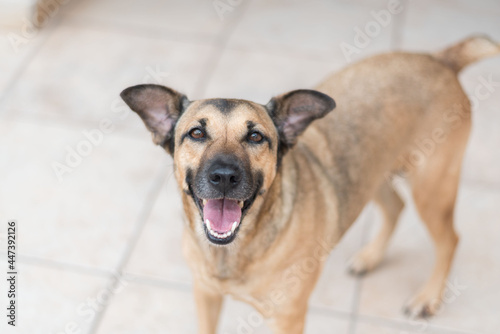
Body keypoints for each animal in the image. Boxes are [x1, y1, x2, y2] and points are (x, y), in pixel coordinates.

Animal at [122, 36, 500, 334]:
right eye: (197, 133)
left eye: (256, 137)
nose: (225, 176)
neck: (236, 253)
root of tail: (440, 59)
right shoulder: (205, 295)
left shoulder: (287, 319)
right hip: (372, 175)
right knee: (396, 206)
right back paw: (370, 258)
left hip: (432, 189)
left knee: (450, 240)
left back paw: (428, 297)